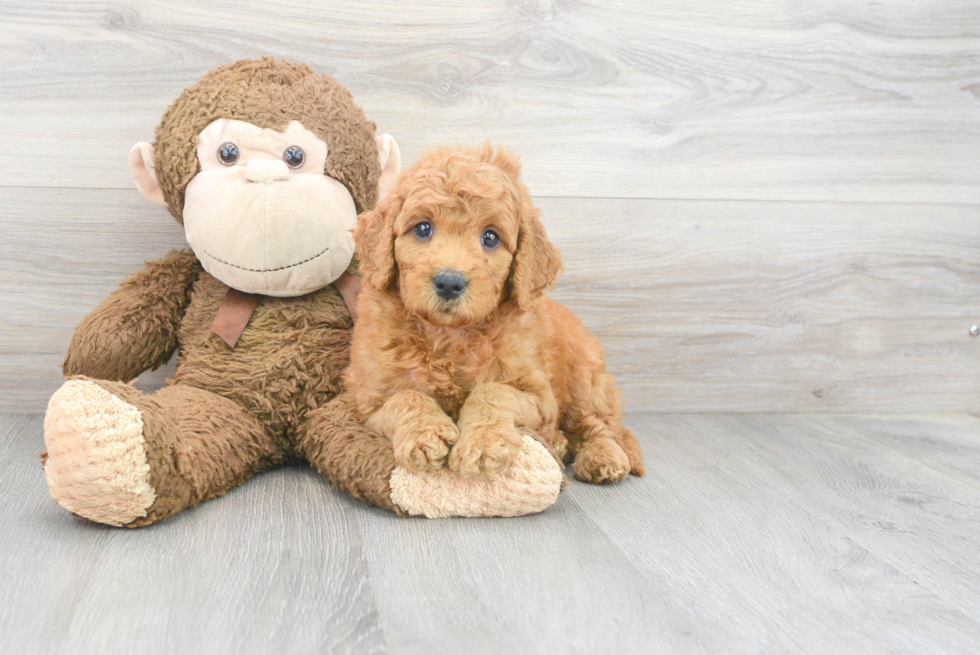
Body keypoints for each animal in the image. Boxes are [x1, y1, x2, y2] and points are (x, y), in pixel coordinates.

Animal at [344, 144, 644, 484]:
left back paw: (602, 457)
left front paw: (482, 443)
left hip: (585, 379)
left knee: (602, 427)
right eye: (422, 228)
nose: (449, 282)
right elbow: (405, 397)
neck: (448, 335)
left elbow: (494, 391)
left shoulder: (539, 395)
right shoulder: (367, 399)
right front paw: (425, 434)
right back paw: (560, 442)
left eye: (490, 238)